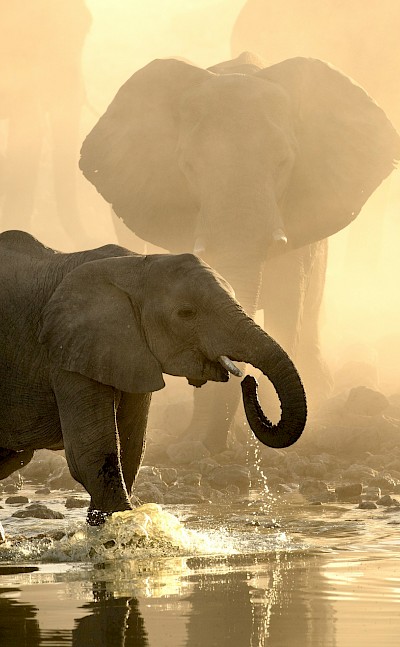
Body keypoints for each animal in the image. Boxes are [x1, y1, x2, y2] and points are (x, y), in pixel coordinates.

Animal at [0, 230, 306, 523]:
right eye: (186, 313)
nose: (249, 381)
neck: (135, 265)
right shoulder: (65, 353)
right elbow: (92, 454)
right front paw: (121, 532)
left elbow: (132, 448)